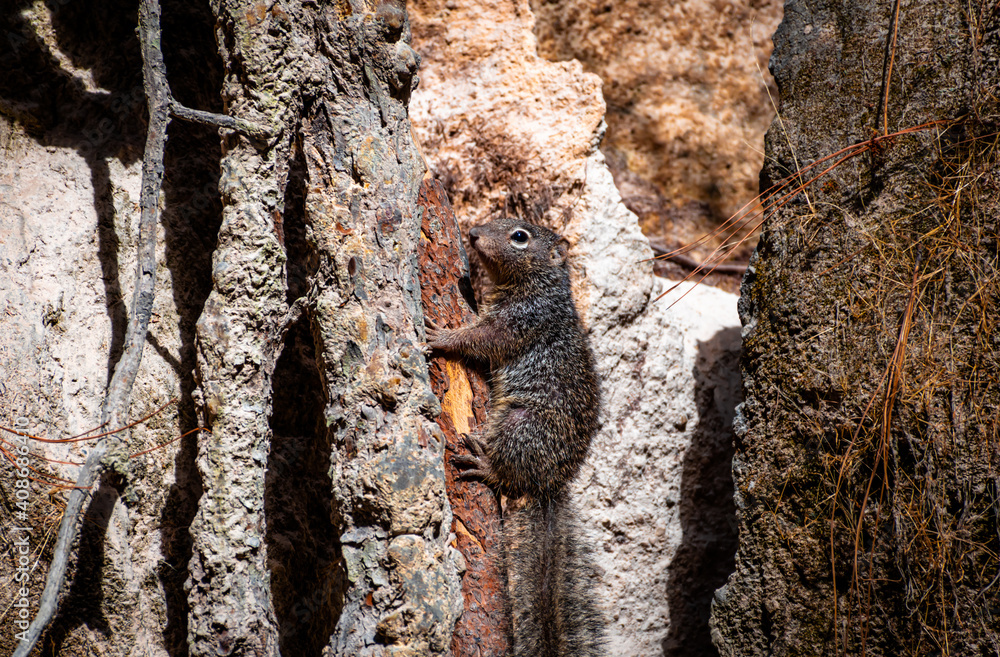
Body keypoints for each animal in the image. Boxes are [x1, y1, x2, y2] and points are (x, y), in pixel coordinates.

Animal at [426, 217, 605, 657]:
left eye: (520, 236)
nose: (473, 234)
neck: (540, 286)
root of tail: (550, 483)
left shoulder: (520, 321)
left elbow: (481, 338)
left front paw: (443, 336)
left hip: (517, 426)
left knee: (507, 476)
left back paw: (482, 463)